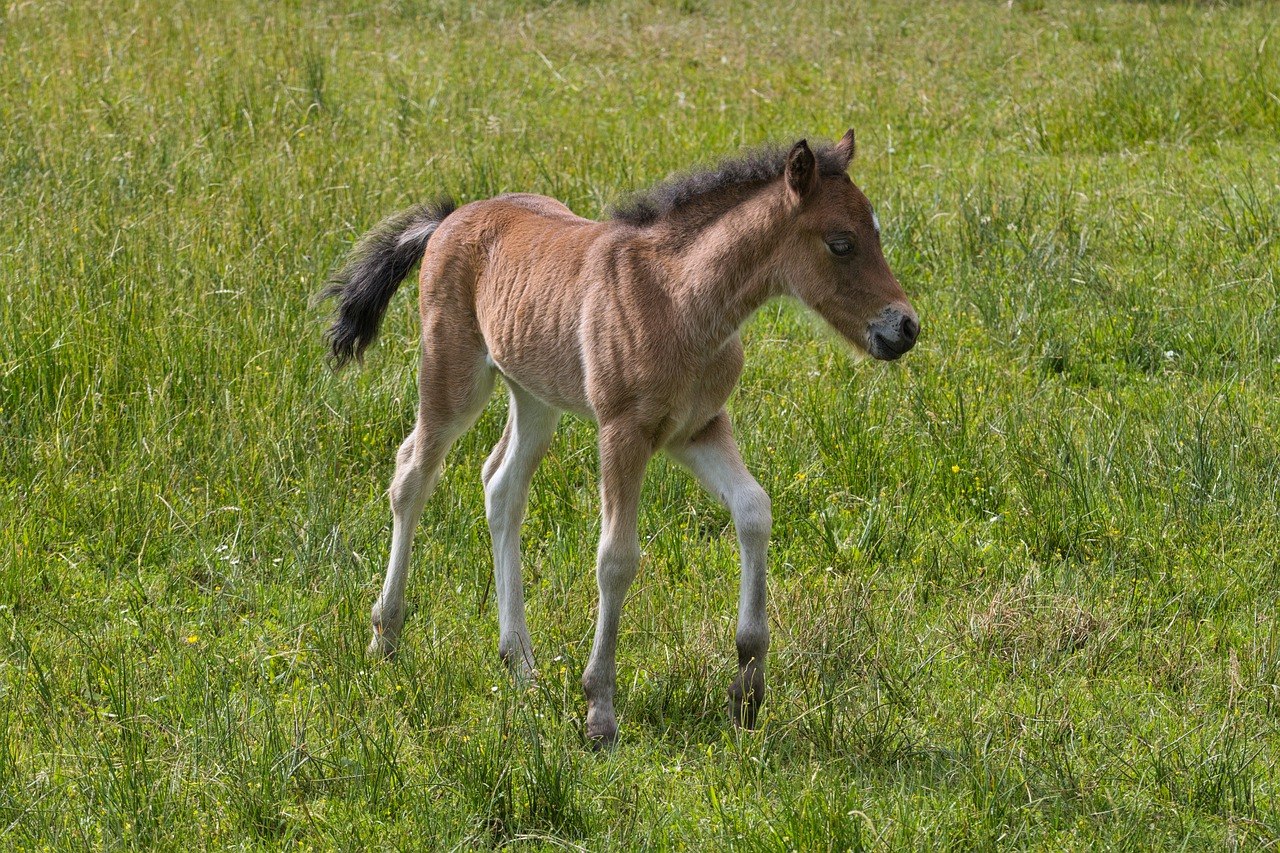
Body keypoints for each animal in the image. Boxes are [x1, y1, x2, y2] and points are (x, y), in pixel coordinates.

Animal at [325, 129, 916, 742]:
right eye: (841, 243)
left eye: (876, 233)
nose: (905, 328)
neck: (680, 299)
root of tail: (450, 216)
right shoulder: (623, 432)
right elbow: (616, 558)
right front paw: (599, 712)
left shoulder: (698, 428)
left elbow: (754, 510)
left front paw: (747, 692)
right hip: (453, 375)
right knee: (412, 473)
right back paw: (386, 637)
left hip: (535, 393)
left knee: (501, 487)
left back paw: (521, 665)